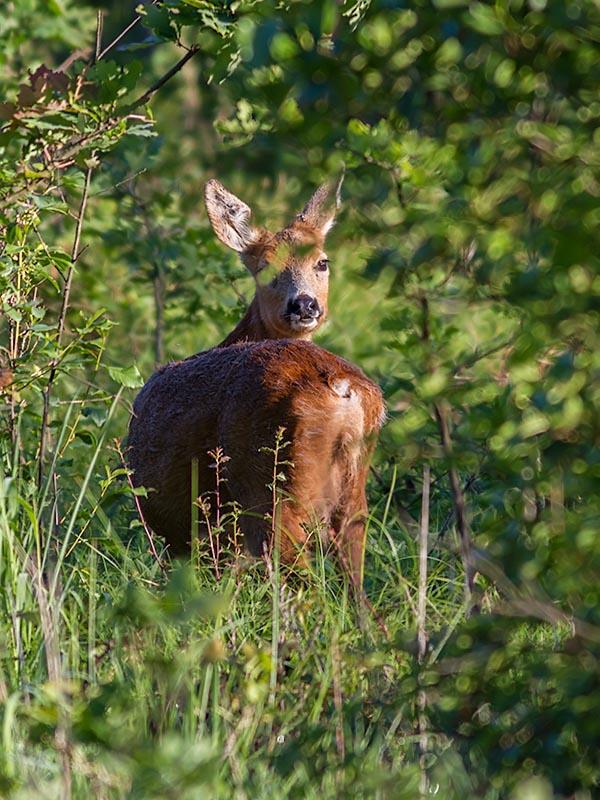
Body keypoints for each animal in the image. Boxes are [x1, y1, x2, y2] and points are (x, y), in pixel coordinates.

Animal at [129, 177, 386, 588]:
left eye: (322, 262)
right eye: (264, 266)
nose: (305, 304)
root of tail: (342, 391)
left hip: (270, 490)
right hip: (352, 501)